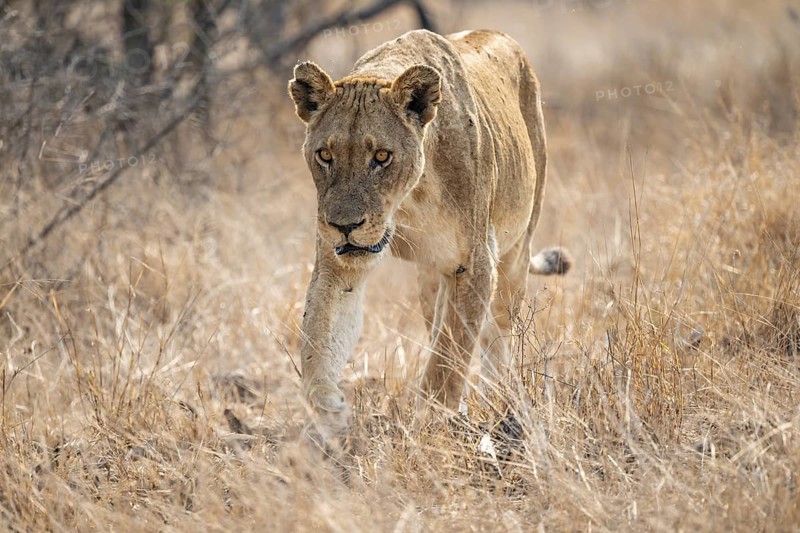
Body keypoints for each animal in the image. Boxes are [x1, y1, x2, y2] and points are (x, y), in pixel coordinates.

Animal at [288, 29, 570, 438]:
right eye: (325, 155)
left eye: (382, 157)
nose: (344, 226)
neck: (408, 199)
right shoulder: (338, 264)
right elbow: (318, 340)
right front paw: (330, 414)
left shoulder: (476, 262)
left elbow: (449, 359)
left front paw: (434, 422)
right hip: (429, 280)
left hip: (516, 253)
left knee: (496, 337)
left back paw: (498, 402)